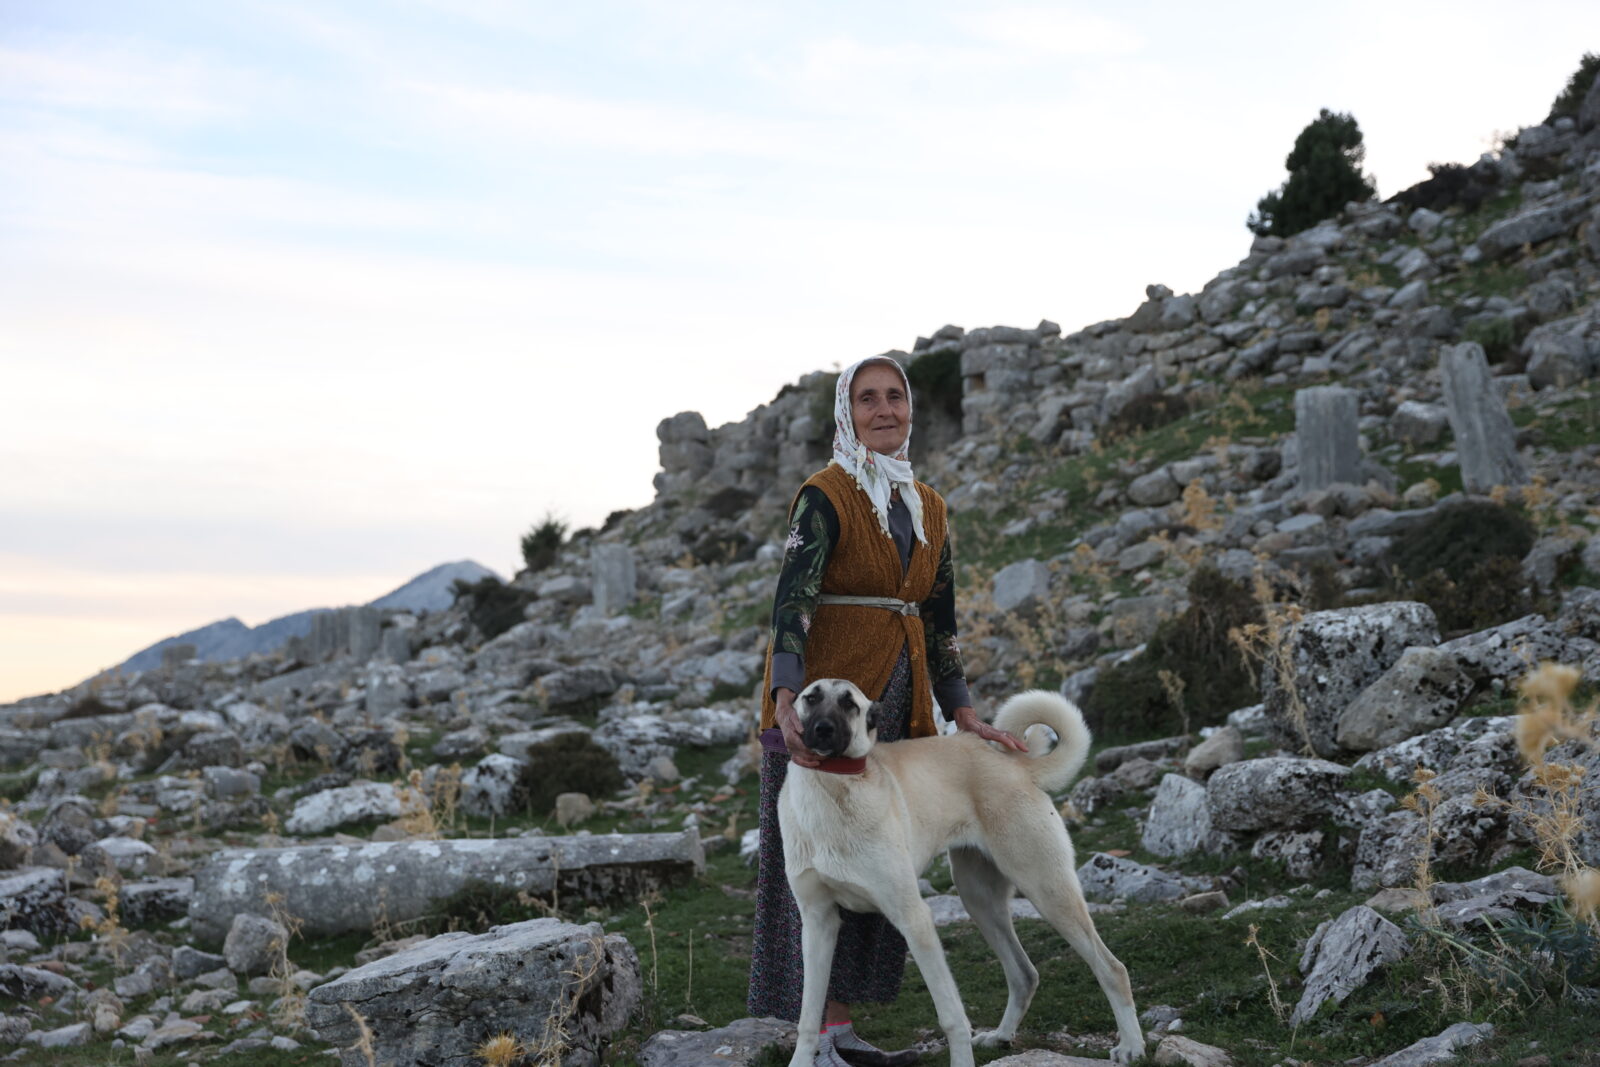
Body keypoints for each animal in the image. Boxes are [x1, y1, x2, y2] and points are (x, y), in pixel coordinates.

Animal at [777, 681, 1145, 1062]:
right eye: (811, 698)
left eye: (849, 704)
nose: (823, 729)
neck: (832, 787)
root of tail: (1016, 765)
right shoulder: (818, 922)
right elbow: (808, 1017)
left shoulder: (914, 918)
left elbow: (952, 1017)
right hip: (979, 900)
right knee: (1024, 974)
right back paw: (1001, 1036)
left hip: (1047, 888)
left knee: (1112, 968)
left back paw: (1131, 1046)